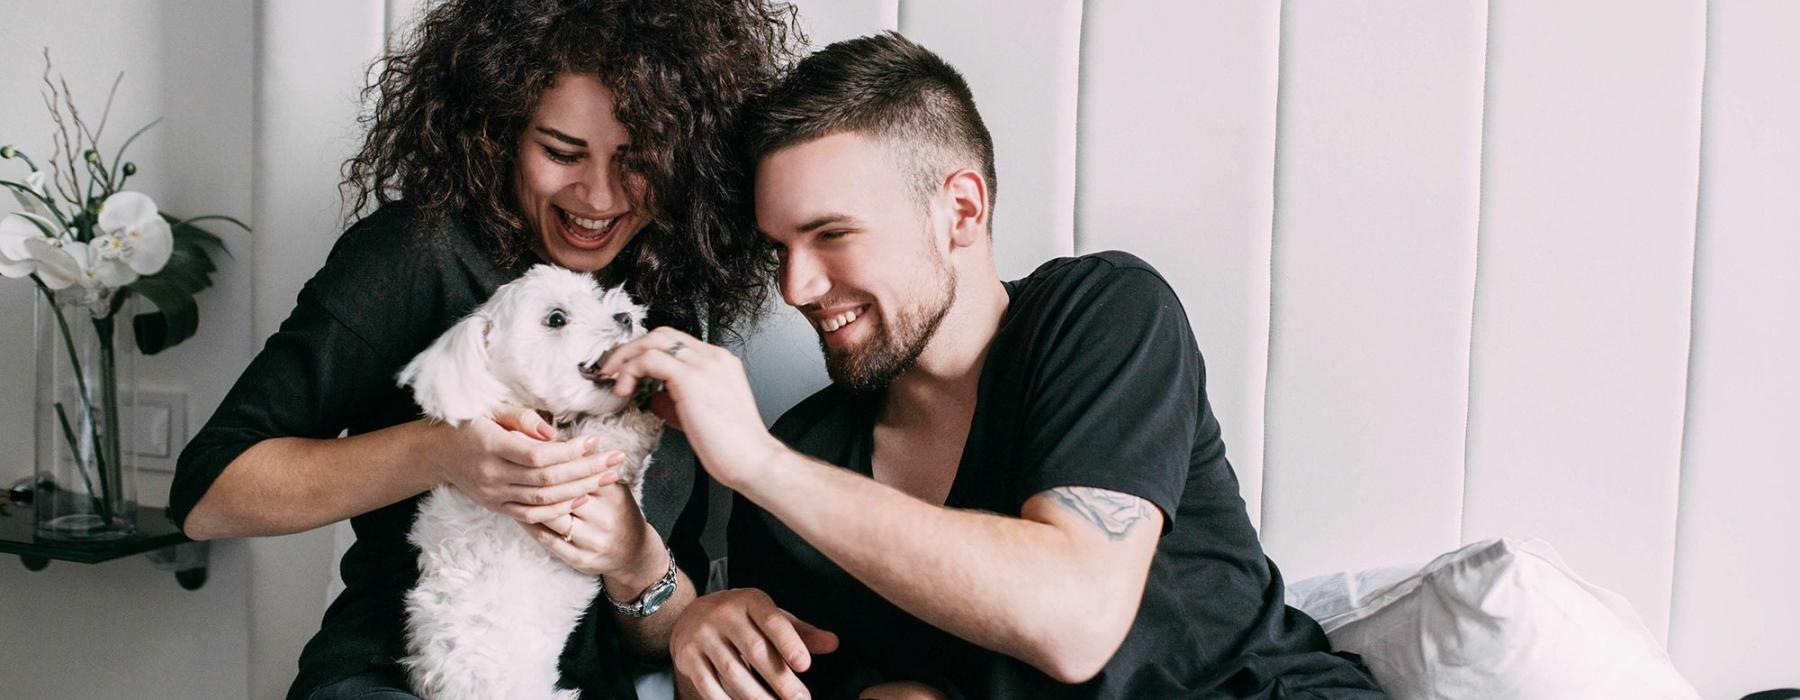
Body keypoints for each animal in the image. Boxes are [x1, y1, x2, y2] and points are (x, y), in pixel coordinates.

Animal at [390, 262, 666, 698]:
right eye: (556, 319)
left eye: (593, 295)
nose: (625, 316)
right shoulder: (589, 465)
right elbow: (621, 438)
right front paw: (643, 403)